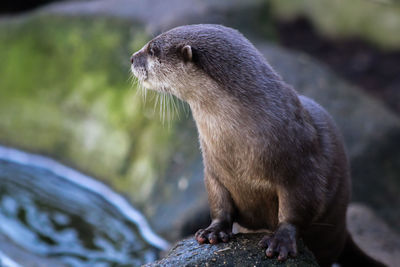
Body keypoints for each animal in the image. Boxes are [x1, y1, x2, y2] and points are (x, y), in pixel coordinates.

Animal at [130, 24, 386, 266]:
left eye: (153, 50)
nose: (132, 58)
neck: (236, 144)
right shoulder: (213, 170)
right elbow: (219, 203)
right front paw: (214, 230)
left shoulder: (301, 168)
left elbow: (296, 209)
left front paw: (281, 241)